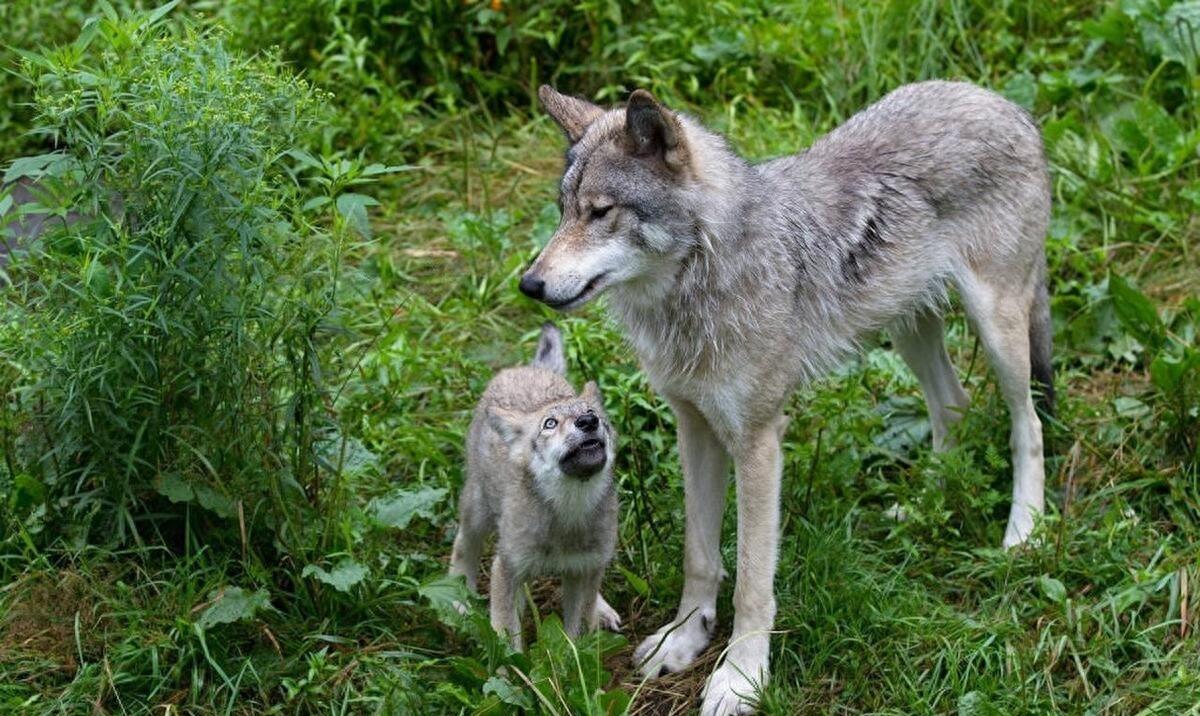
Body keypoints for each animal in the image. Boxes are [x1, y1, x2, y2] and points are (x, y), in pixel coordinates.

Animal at [448, 321, 624, 642]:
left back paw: (603, 610)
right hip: (478, 513)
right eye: (549, 424)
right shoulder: (506, 568)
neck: (568, 515)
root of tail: (527, 369)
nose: (587, 423)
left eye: (591, 414)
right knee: (462, 544)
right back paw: (457, 600)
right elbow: (507, 640)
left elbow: (574, 635)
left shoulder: (583, 570)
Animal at [525, 80, 1051, 710]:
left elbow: (752, 579)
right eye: (562, 210)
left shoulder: (758, 442)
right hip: (909, 331)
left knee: (1028, 424)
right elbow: (700, 557)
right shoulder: (694, 427)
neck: (700, 284)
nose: (528, 284)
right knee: (955, 408)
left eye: (601, 212)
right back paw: (926, 504)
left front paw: (742, 677)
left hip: (998, 331)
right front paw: (684, 639)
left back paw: (1024, 531)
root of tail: (1004, 102)